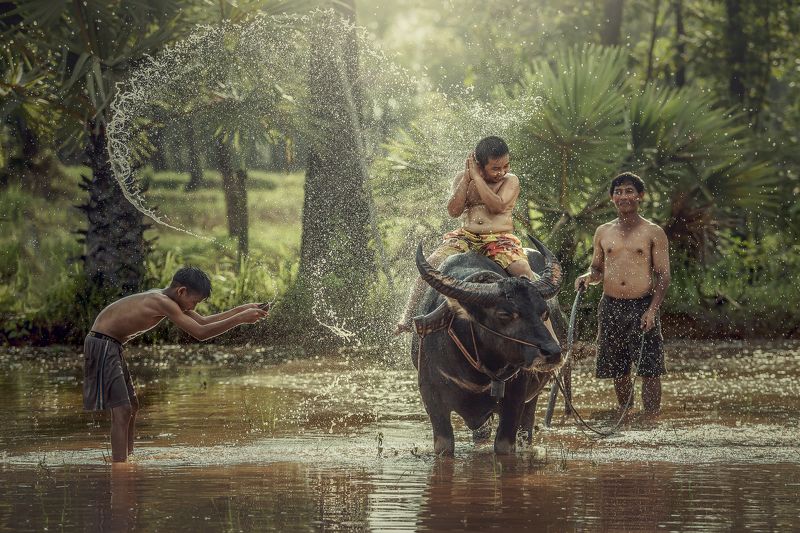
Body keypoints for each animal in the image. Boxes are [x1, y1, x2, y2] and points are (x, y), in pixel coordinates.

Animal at [410, 236, 565, 455]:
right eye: (505, 314)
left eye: (544, 313)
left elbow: (504, 446)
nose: (553, 353)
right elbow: (444, 446)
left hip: (531, 401)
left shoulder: (515, 400)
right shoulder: (432, 398)